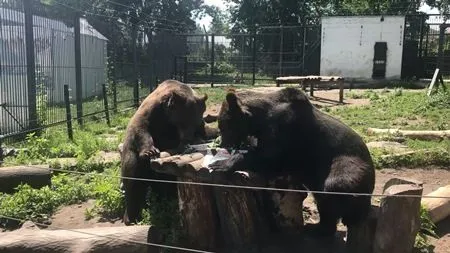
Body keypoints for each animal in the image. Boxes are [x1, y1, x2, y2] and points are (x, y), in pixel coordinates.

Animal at [119, 79, 211, 225]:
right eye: (183, 122)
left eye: (196, 123)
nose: (188, 138)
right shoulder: (152, 114)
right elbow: (141, 128)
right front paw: (150, 151)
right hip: (132, 158)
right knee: (133, 183)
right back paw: (130, 217)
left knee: (165, 184)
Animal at [211, 87, 376, 237]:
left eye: (223, 126)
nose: (223, 144)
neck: (260, 120)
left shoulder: (287, 132)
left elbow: (269, 157)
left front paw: (221, 164)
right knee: (322, 200)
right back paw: (318, 227)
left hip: (347, 163)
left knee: (334, 187)